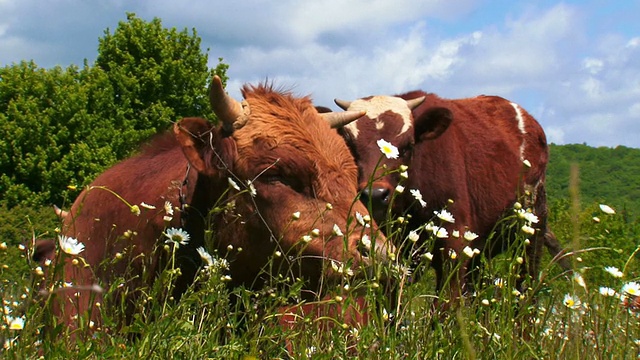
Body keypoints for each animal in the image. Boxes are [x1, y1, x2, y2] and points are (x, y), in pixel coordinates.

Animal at [332, 90, 568, 304]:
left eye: (408, 145)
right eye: (350, 145)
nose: (375, 195)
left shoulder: (455, 246)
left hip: (532, 230)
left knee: (525, 289)